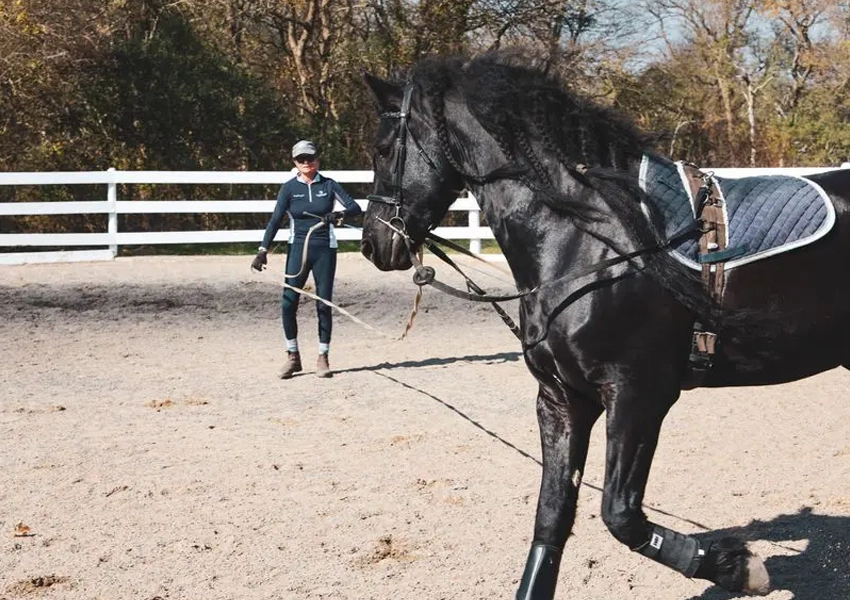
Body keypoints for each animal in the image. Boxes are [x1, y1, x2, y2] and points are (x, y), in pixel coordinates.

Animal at [358, 52, 848, 600]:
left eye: (382, 149)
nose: (374, 243)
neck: (593, 243)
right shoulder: (561, 398)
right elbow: (552, 517)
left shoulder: (637, 395)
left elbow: (621, 516)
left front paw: (740, 567)